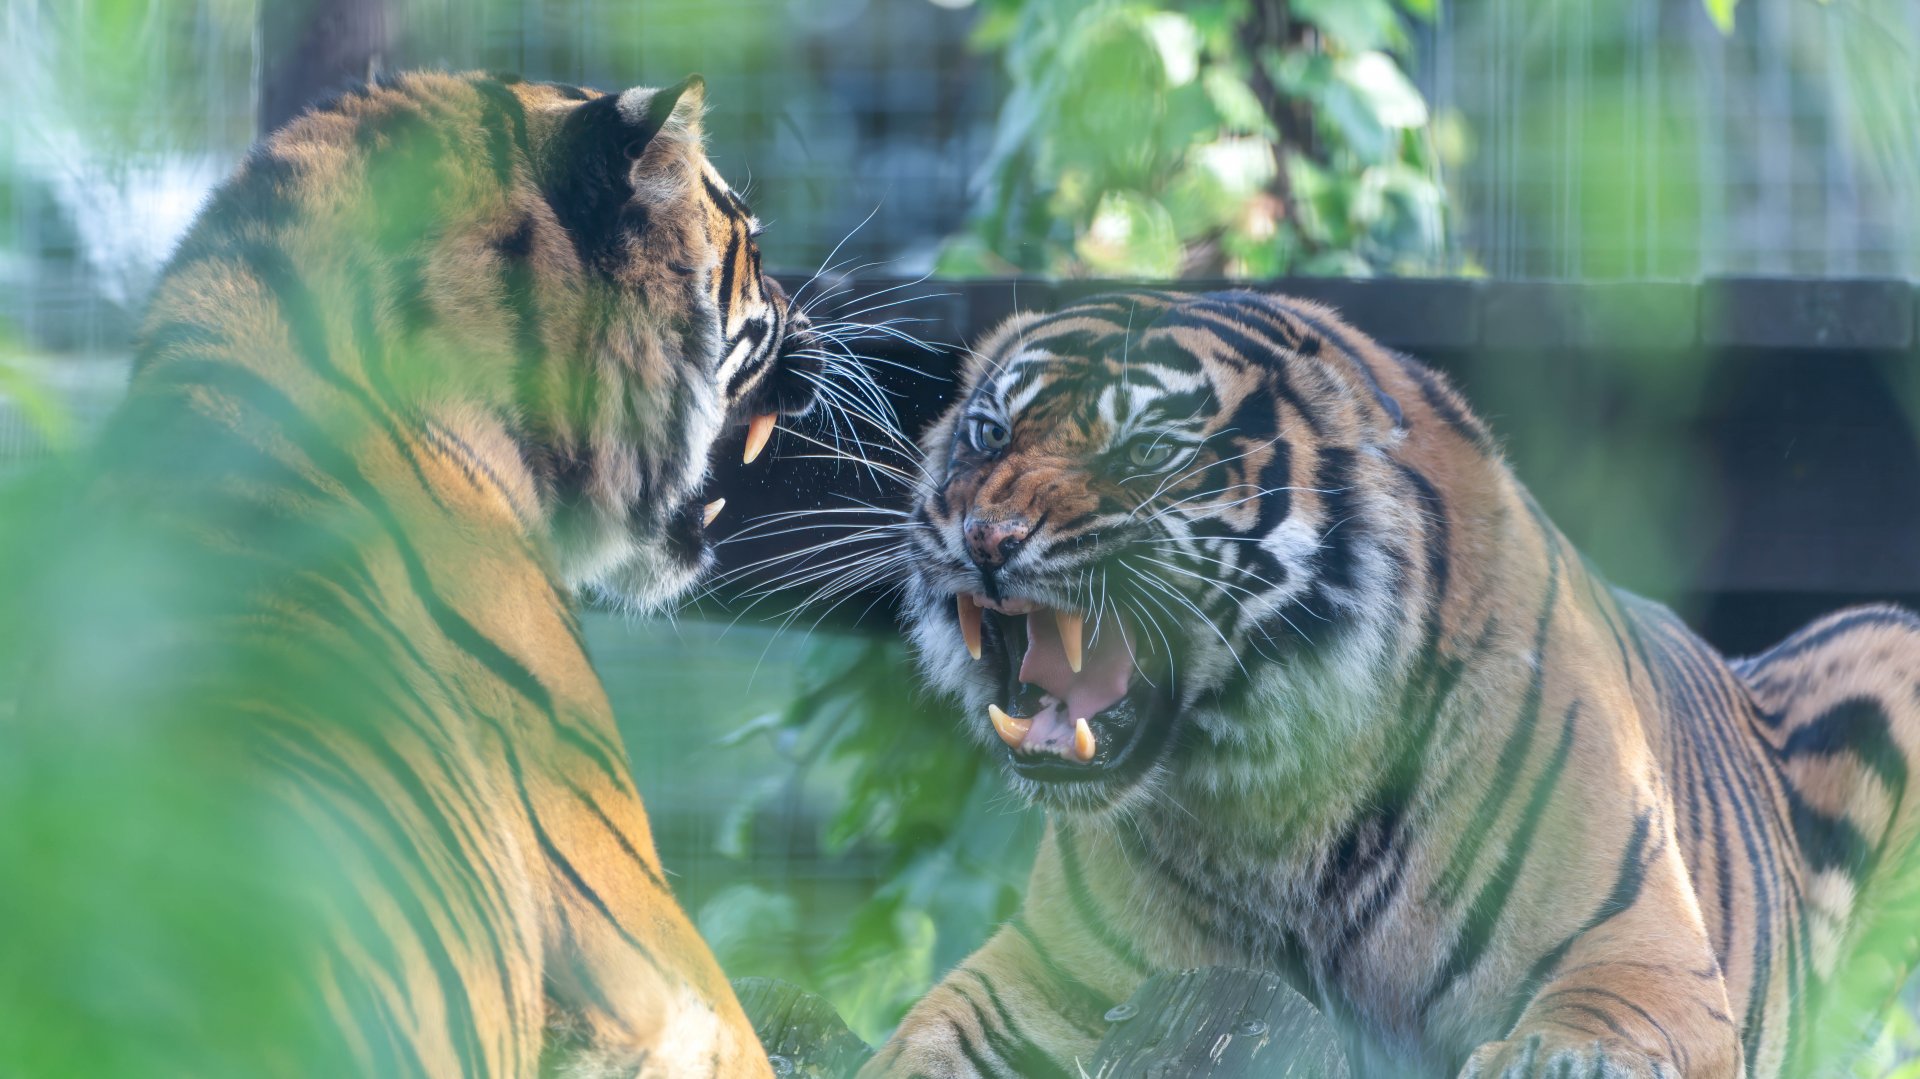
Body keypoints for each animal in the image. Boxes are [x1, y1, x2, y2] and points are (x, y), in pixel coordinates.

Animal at [867, 288, 1920, 1078]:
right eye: (986, 432)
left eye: (1148, 451)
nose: (984, 538)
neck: (1264, 806)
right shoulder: (1053, 968)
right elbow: (929, 1029)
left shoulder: (1641, 948)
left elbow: (1604, 1021)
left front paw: (1558, 1058)